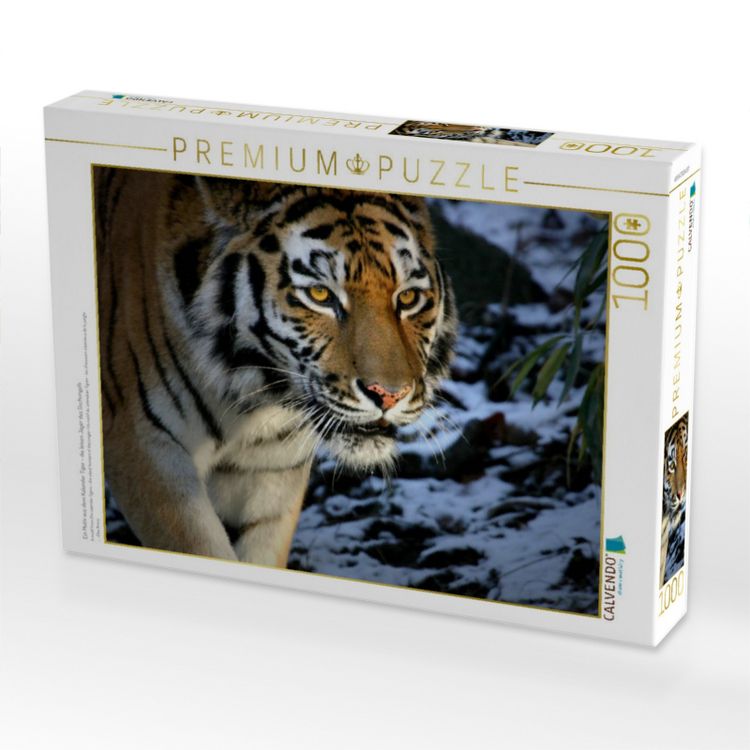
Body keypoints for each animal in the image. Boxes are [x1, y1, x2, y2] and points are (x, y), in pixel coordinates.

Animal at [94, 167, 457, 567]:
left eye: (408, 297)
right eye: (319, 295)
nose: (389, 395)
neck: (252, 396)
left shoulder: (271, 467)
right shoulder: (144, 444)